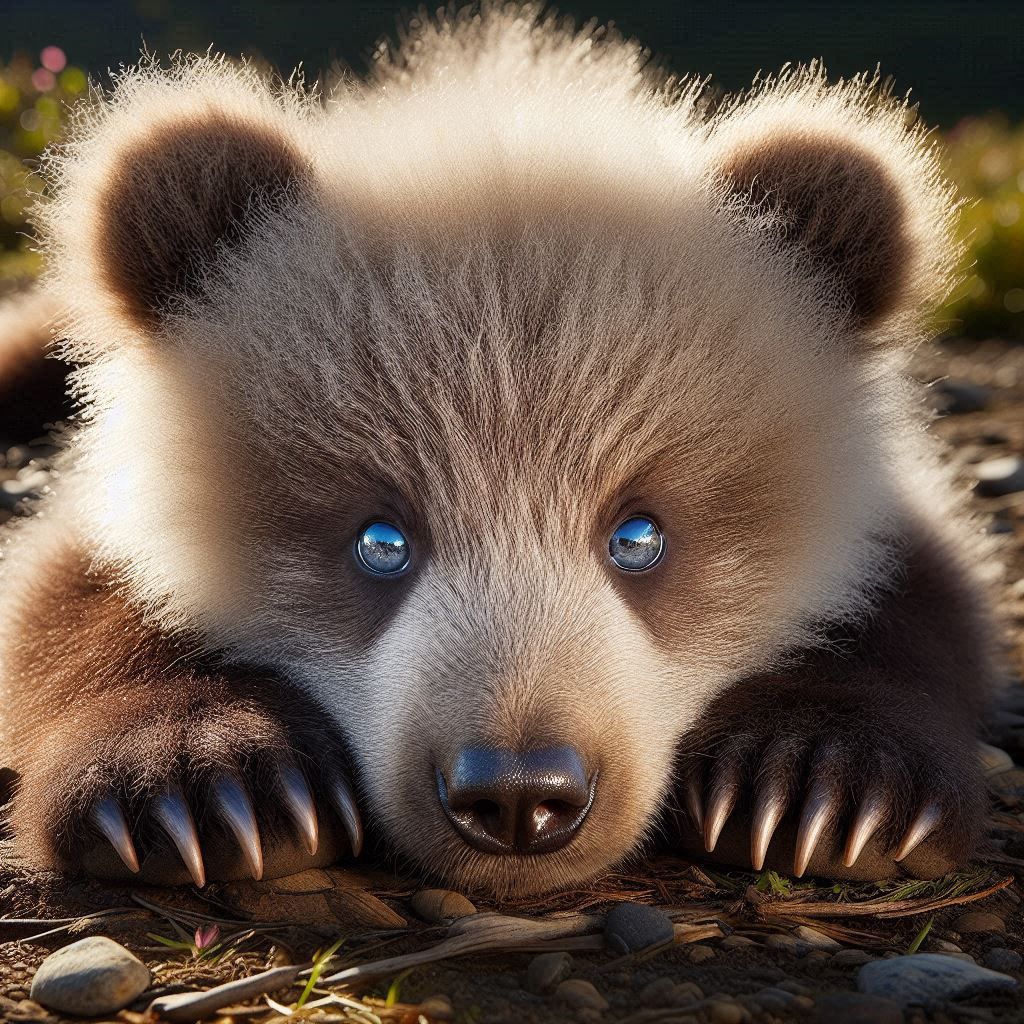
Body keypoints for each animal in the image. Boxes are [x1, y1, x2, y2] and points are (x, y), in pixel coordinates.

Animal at [0, 4, 997, 897]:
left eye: (639, 536)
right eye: (380, 540)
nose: (519, 794)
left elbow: (918, 599)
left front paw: (823, 778)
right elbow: (66, 604)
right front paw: (202, 778)